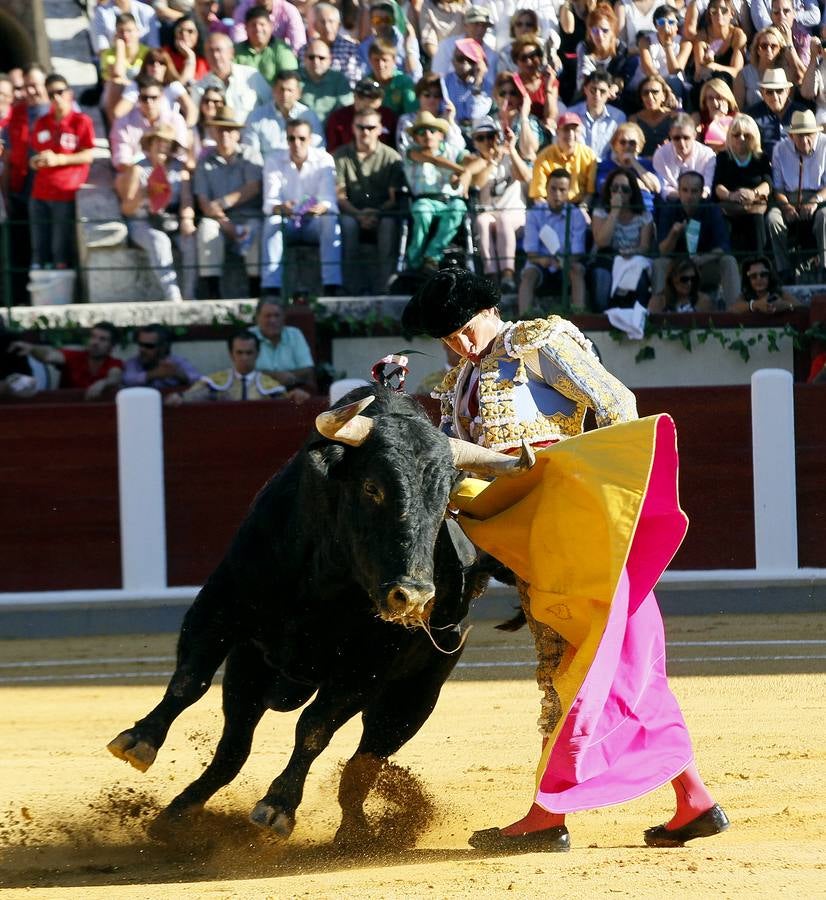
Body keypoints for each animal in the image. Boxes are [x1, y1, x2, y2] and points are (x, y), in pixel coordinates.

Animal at [108, 386, 528, 844]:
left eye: (442, 503)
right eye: (372, 487)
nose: (414, 598)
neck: (324, 579)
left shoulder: (366, 668)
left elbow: (314, 727)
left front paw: (277, 807)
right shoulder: (221, 606)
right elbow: (190, 680)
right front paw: (138, 741)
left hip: (414, 696)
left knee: (363, 763)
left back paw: (354, 837)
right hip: (250, 668)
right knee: (234, 747)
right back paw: (177, 816)